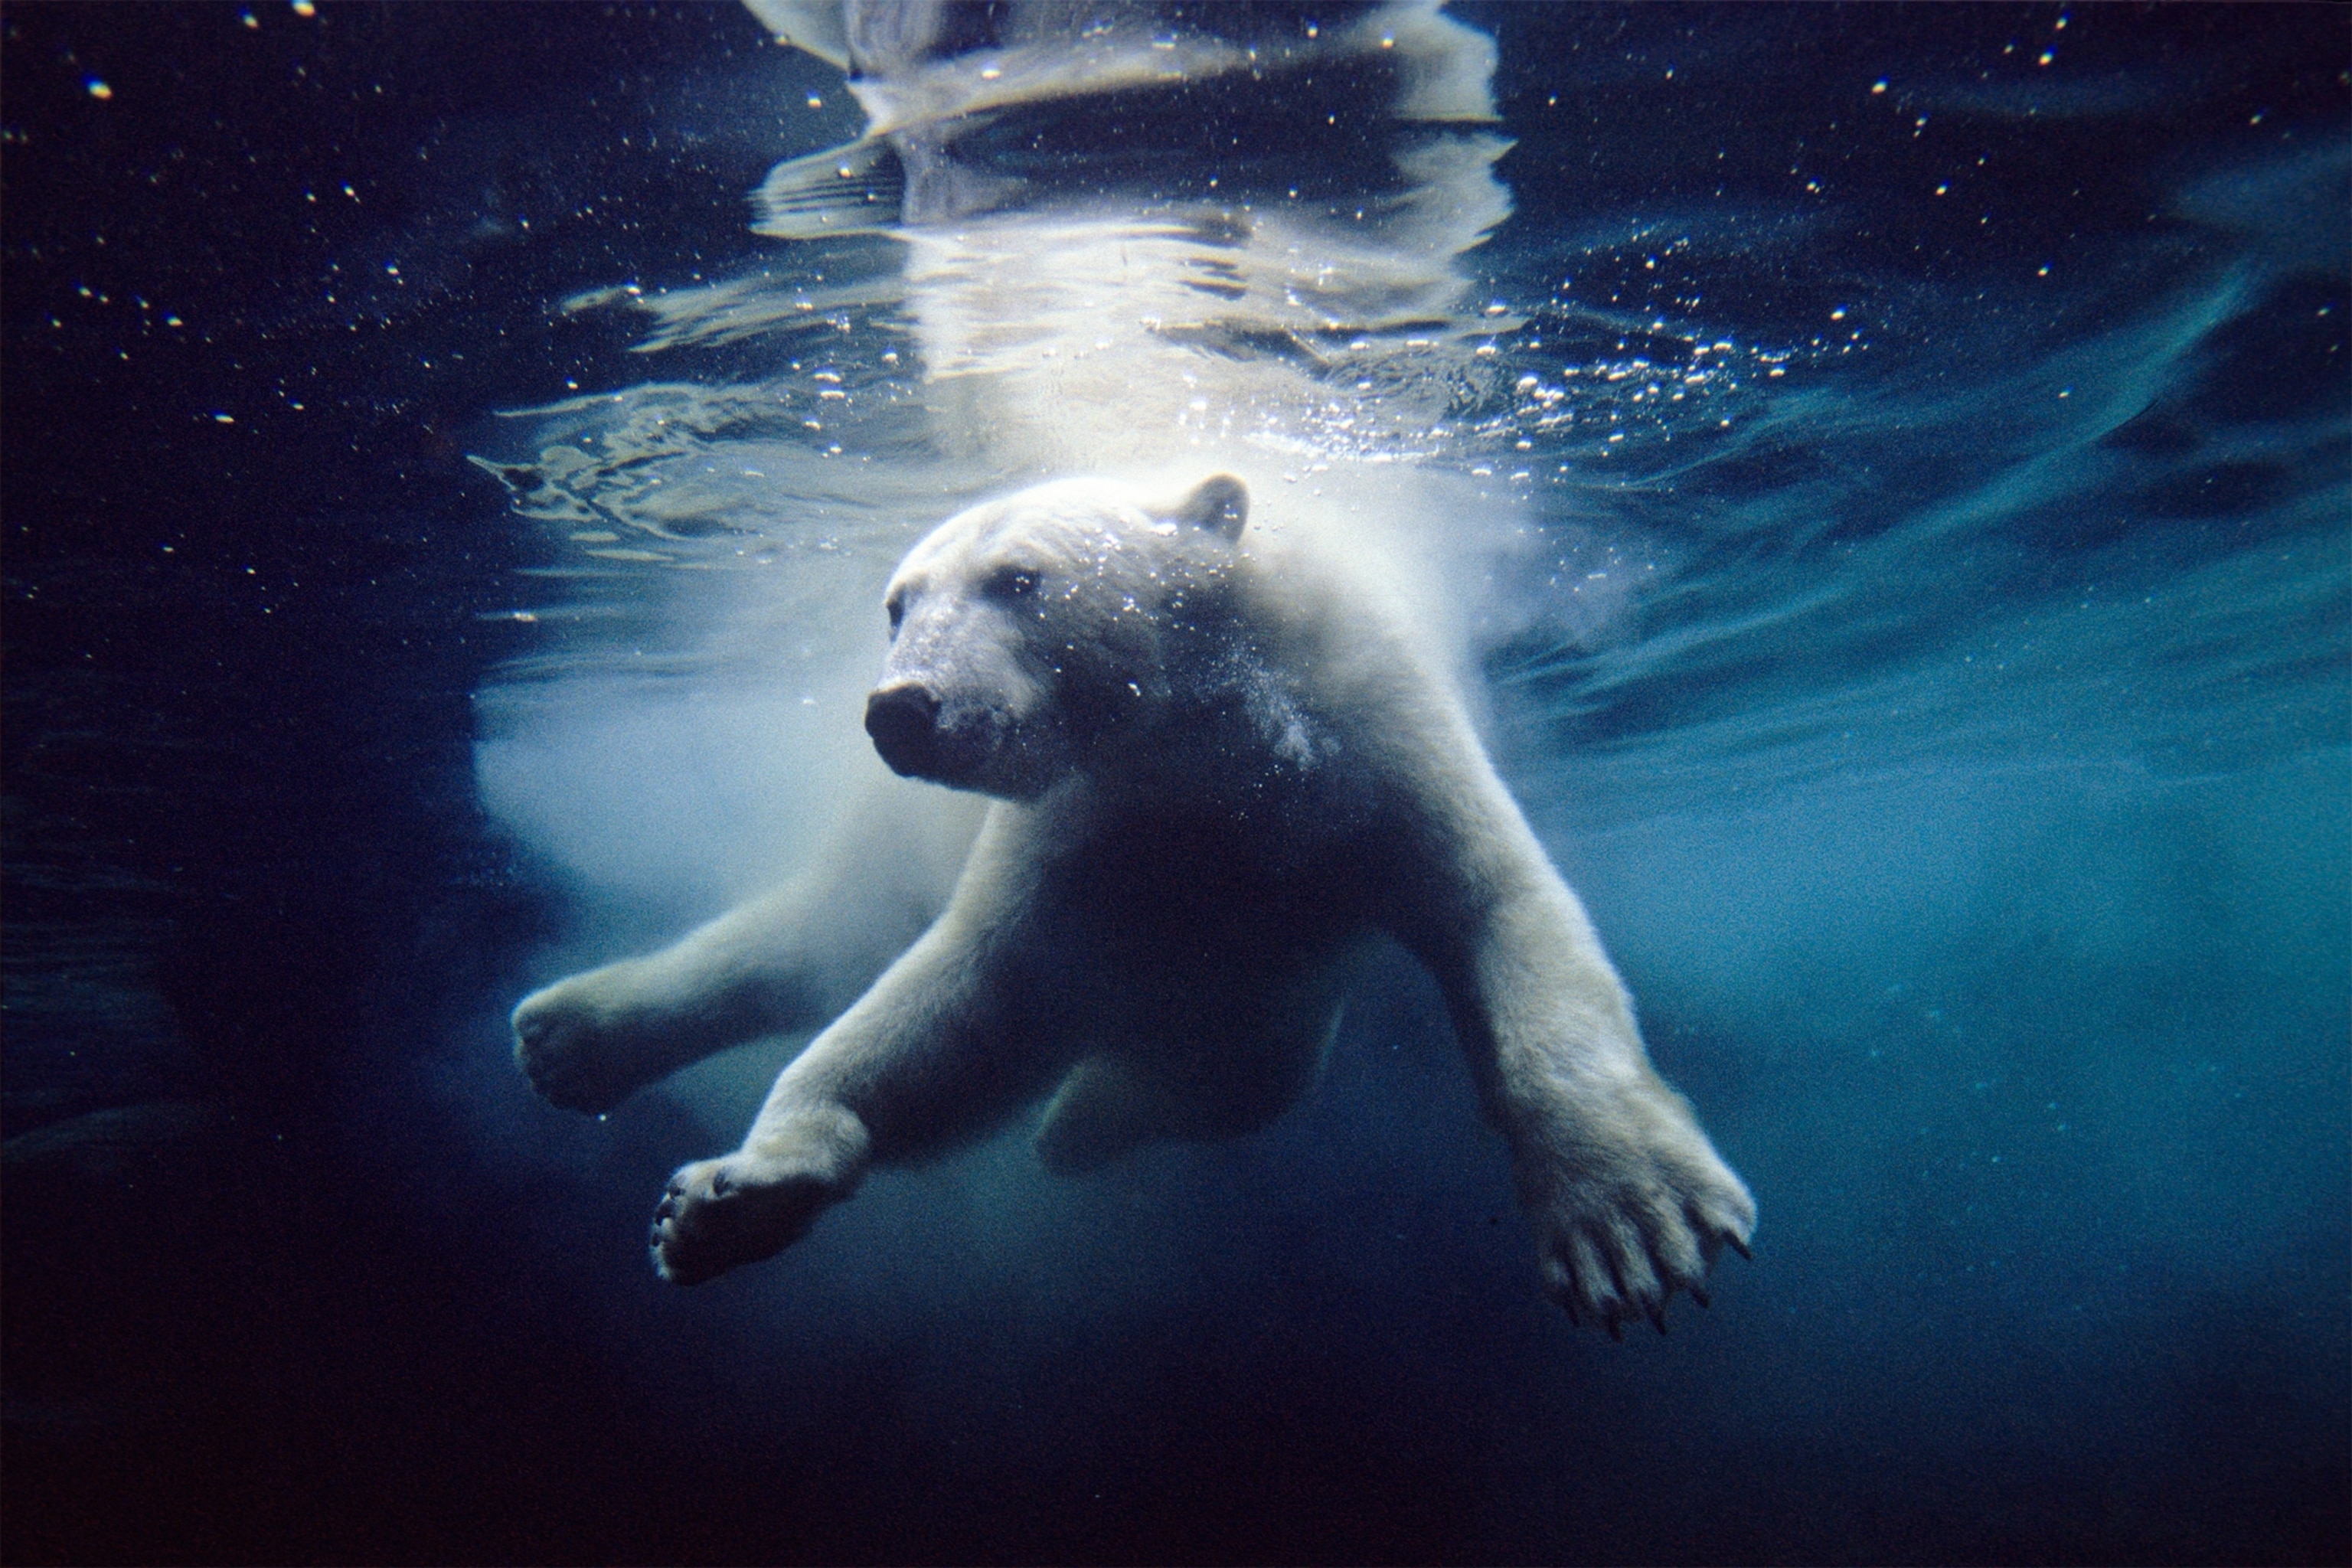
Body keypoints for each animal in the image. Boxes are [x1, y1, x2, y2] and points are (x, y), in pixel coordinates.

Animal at [518, 469, 1755, 1335]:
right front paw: (733, 1194)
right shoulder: (1087, 823)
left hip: (1270, 1001)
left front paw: (1627, 1223)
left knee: (1233, 1074)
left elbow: (1499, 913)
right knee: (826, 934)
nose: (901, 708)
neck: (1217, 754)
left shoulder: (1374, 739)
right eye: (896, 603)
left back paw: (1079, 1120)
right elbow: (972, 991)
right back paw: (570, 1034)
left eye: (1019, 580)